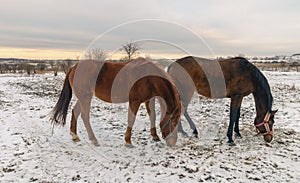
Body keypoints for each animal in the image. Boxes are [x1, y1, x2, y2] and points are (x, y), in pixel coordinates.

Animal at [50, 58, 180, 147]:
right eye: (173, 123)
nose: (173, 142)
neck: (148, 76)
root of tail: (73, 67)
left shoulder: (149, 100)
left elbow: (152, 116)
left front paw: (155, 136)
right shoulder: (135, 101)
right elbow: (131, 119)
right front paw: (128, 141)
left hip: (83, 97)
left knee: (75, 112)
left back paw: (75, 136)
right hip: (85, 97)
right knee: (84, 116)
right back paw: (94, 139)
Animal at [146, 56, 278, 146]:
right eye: (270, 123)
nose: (269, 138)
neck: (249, 74)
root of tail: (173, 65)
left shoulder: (239, 97)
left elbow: (237, 115)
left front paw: (238, 133)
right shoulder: (236, 96)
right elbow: (233, 116)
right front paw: (230, 138)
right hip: (186, 92)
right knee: (182, 109)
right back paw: (188, 131)